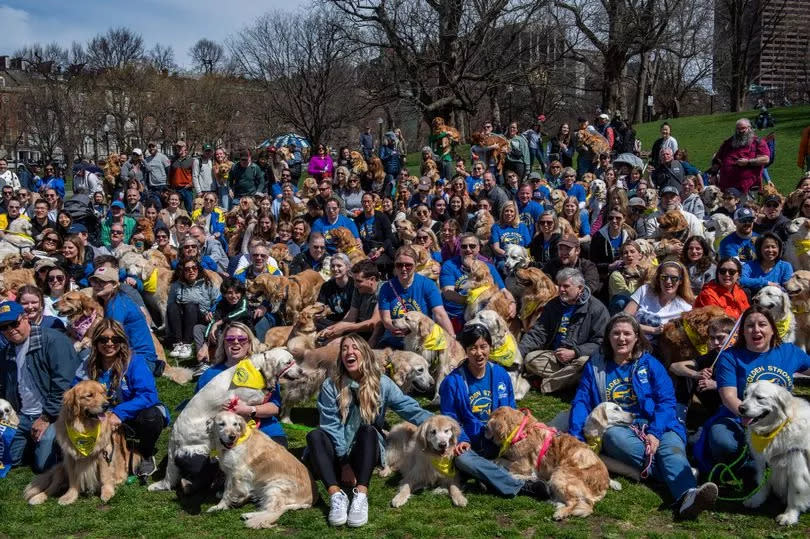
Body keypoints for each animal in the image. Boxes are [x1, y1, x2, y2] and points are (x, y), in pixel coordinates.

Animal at [147, 350, 302, 494]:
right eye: (288, 362)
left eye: (294, 359)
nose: (301, 371)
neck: (258, 370)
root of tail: (173, 434)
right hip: (206, 432)